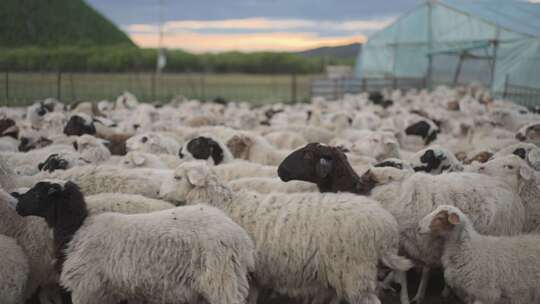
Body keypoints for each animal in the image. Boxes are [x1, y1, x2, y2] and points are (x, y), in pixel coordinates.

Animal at [14, 180, 255, 304]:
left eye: (38, 194)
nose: (18, 205)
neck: (75, 231)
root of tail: (240, 237)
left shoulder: (87, 288)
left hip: (221, 280)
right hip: (229, 280)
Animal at [160, 163, 414, 304]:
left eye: (177, 177)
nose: (158, 192)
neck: (227, 205)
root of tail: (384, 224)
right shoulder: (254, 274)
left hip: (354, 269)